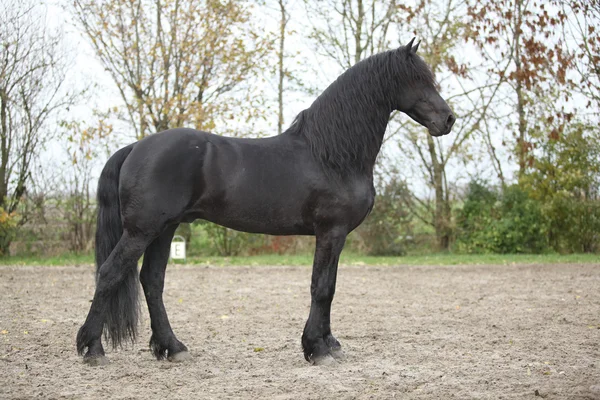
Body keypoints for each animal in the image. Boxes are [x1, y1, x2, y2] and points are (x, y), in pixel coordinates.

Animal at [77, 39, 458, 366]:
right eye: (416, 79)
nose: (449, 119)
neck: (331, 155)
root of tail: (136, 147)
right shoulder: (331, 231)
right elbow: (322, 288)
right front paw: (317, 349)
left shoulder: (336, 236)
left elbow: (331, 287)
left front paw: (330, 344)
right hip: (142, 230)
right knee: (110, 273)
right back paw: (92, 348)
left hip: (165, 229)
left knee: (152, 281)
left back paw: (172, 347)